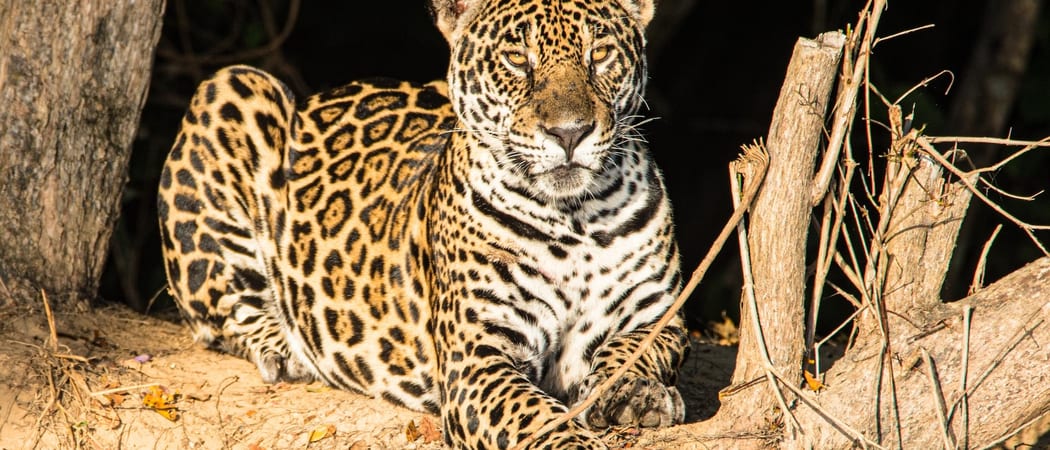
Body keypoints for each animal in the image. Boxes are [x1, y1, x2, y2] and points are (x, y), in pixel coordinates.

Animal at [157, 0, 689, 448]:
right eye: (517, 59)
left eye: (600, 54)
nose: (569, 133)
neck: (574, 216)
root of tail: (324, 93)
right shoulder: (476, 358)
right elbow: (534, 415)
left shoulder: (661, 315)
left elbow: (639, 348)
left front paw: (636, 392)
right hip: (232, 86)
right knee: (218, 311)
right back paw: (285, 350)